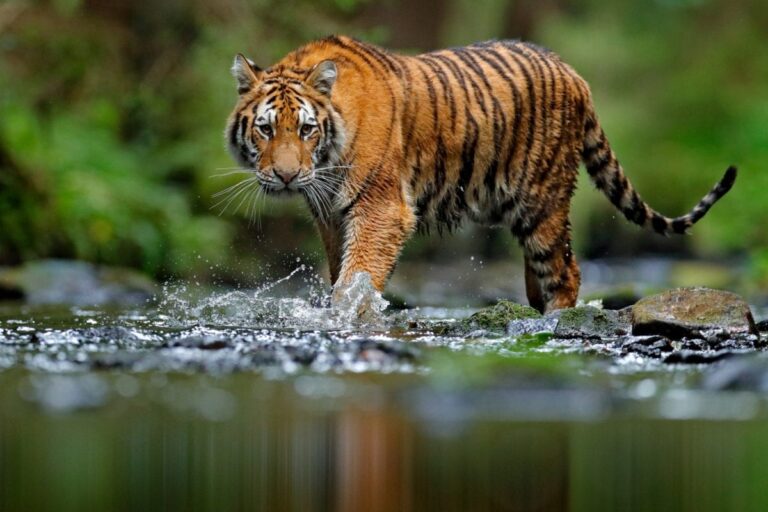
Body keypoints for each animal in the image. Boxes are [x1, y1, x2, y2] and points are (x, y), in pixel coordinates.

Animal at [225, 35, 736, 313]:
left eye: (306, 129)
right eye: (266, 129)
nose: (287, 177)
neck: (327, 161)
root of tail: (574, 73)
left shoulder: (380, 208)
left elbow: (358, 276)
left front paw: (348, 316)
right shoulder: (331, 215)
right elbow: (341, 273)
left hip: (542, 202)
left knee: (566, 270)